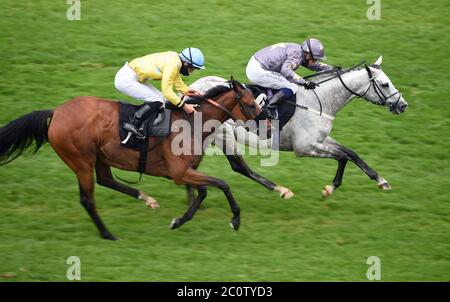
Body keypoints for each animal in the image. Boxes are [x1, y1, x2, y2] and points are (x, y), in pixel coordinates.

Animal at [0, 79, 262, 239]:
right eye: (250, 104)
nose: (266, 124)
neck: (191, 122)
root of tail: (56, 112)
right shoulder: (180, 172)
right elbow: (222, 184)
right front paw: (235, 219)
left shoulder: (186, 171)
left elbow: (205, 191)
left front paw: (179, 220)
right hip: (81, 161)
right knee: (88, 199)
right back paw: (108, 234)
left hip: (99, 158)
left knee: (106, 180)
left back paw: (146, 199)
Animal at [190, 56, 408, 198]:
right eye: (385, 84)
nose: (402, 105)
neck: (318, 100)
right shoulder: (304, 147)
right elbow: (342, 156)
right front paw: (330, 188)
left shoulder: (320, 140)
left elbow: (350, 153)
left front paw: (380, 180)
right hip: (222, 136)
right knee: (239, 167)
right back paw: (281, 190)